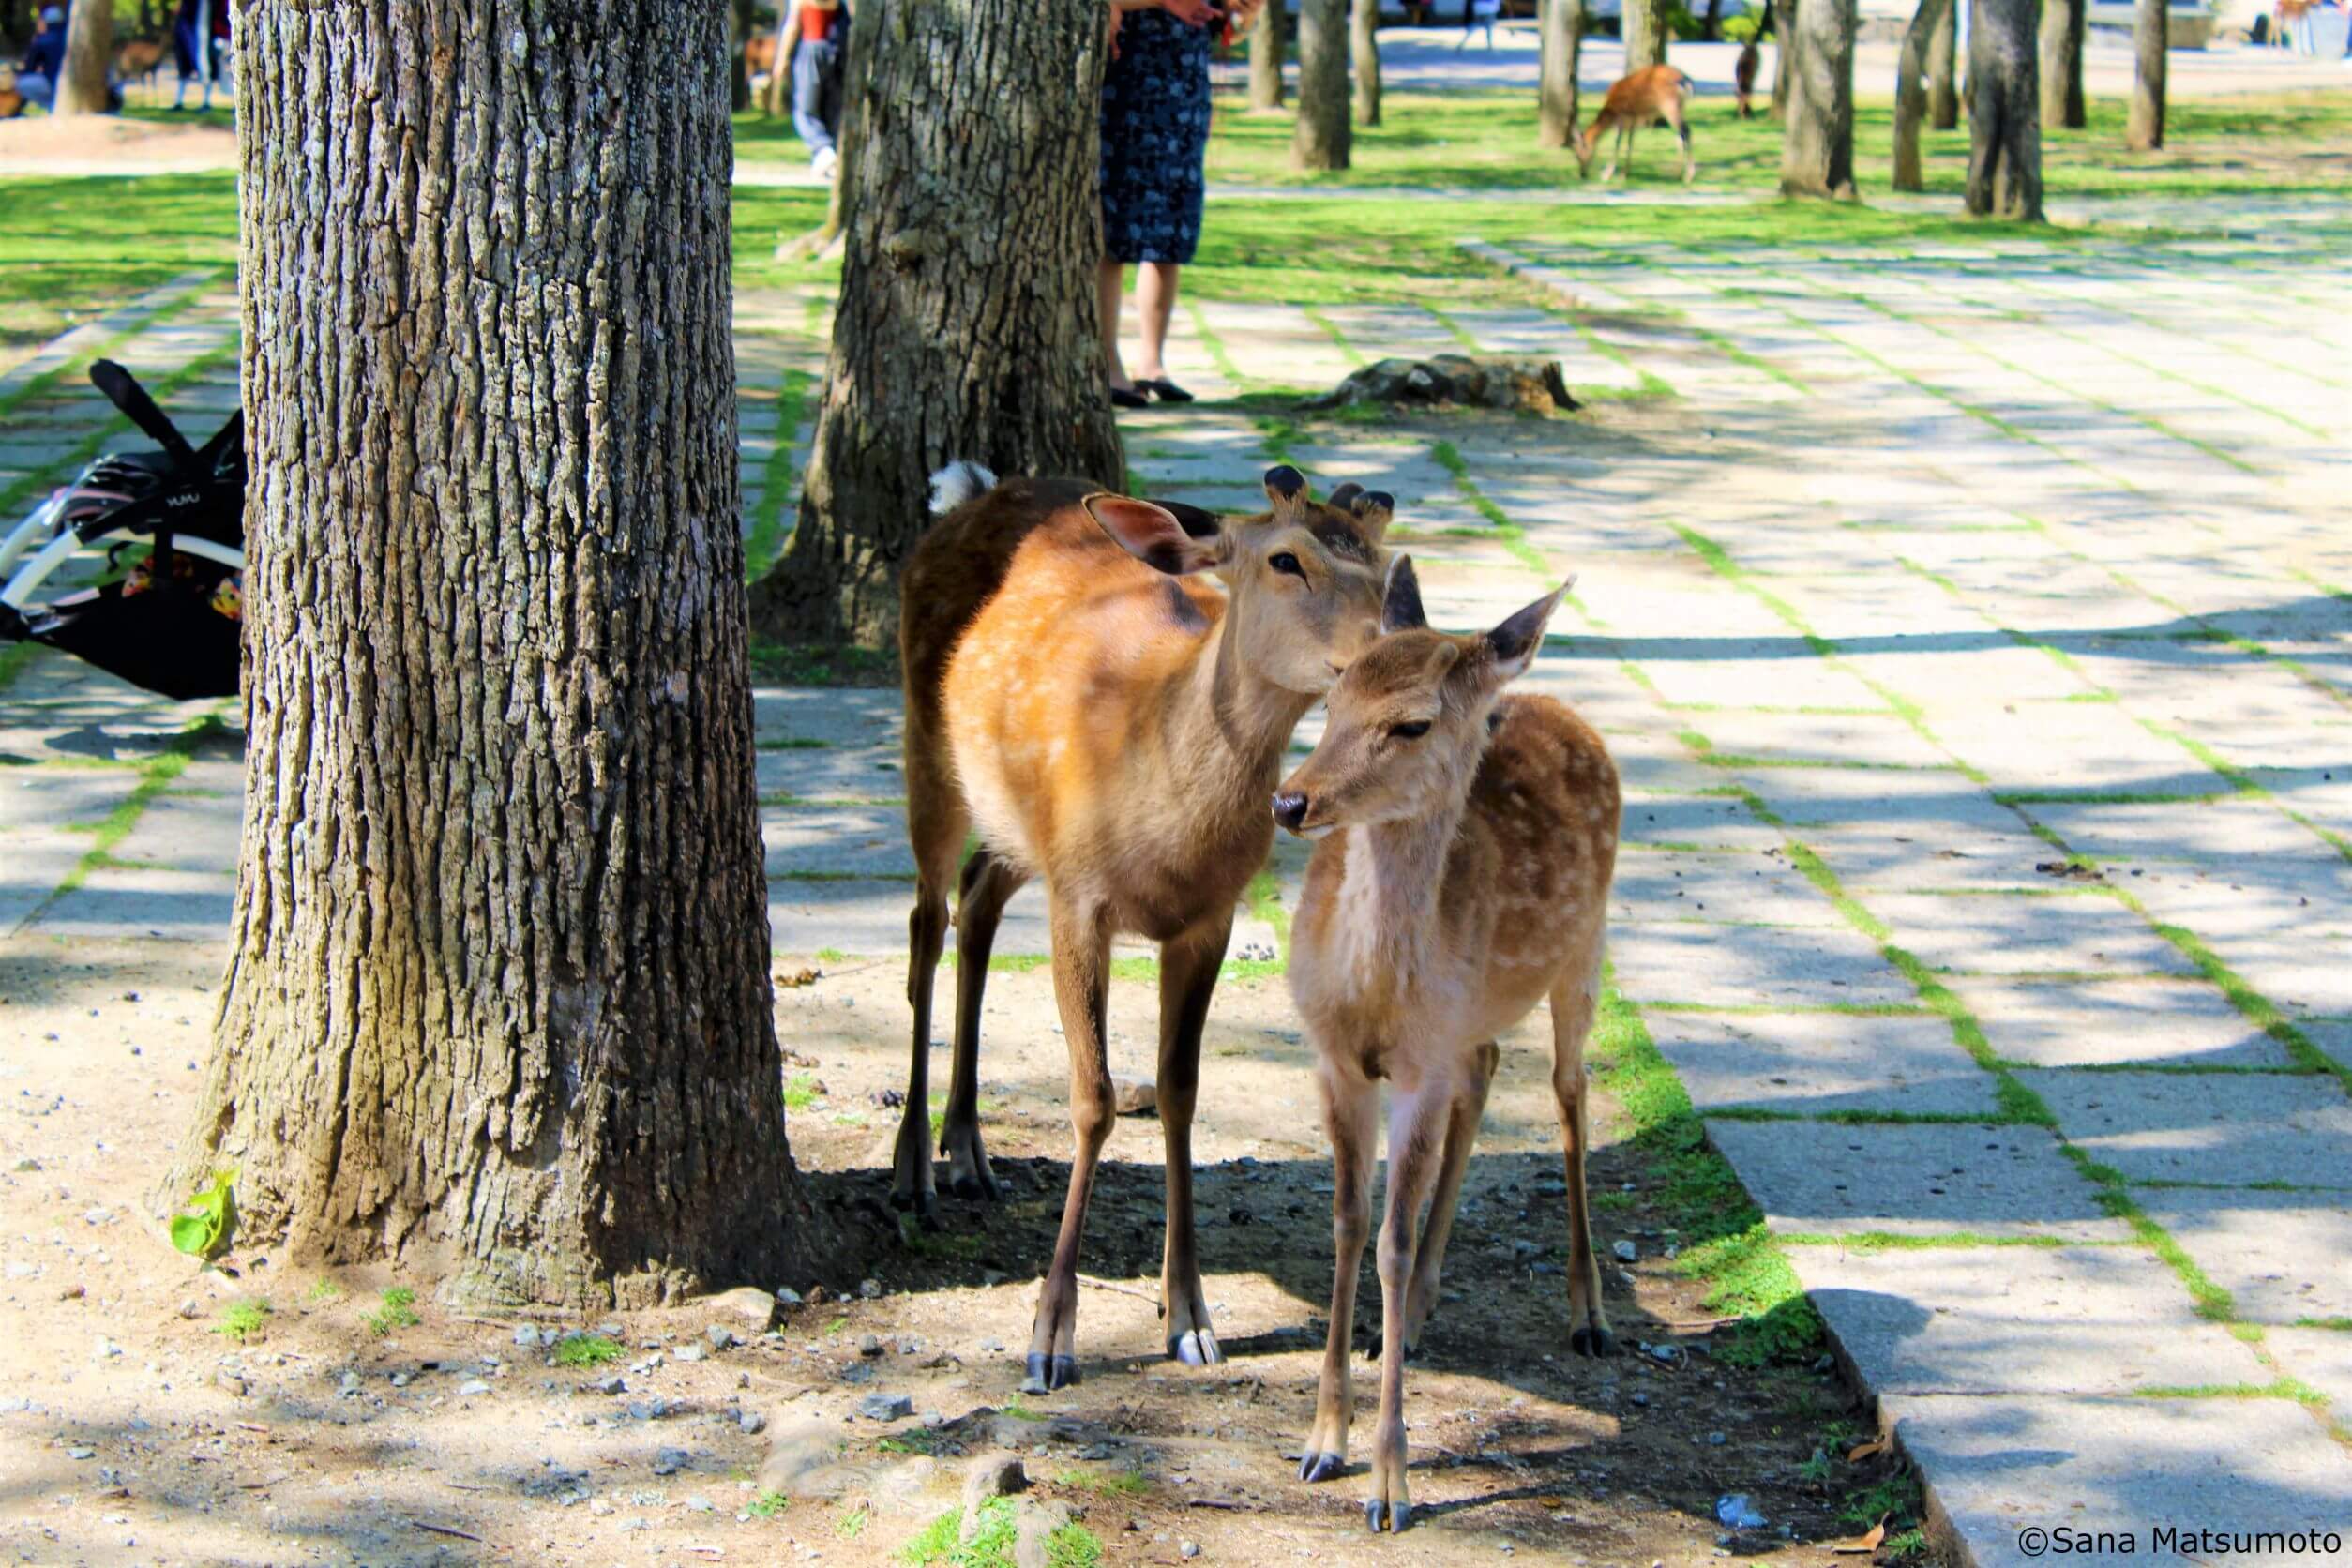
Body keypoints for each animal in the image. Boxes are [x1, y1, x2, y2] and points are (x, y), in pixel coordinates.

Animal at [896, 461, 1395, 1395]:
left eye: (1386, 570)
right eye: (1286, 558)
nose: (1381, 654)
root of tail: (966, 493)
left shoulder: (1209, 917)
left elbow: (1179, 1091)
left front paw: (1190, 1315)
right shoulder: (1081, 901)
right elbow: (1093, 1099)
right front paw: (1049, 1337)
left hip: (1024, 824)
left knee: (978, 896)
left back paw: (968, 1145)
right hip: (928, 744)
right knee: (926, 921)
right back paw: (913, 1163)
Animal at [1272, 557, 1619, 1532]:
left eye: (1412, 722)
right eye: (1334, 692)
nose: (1290, 799)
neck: (1378, 995)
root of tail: (1549, 700)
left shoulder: (1417, 1070)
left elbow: (1387, 1240)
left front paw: (1390, 1484)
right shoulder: (1335, 1060)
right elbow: (1349, 1224)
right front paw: (1322, 1443)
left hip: (1585, 952)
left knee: (1570, 1092)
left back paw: (1589, 1313)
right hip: (1479, 1016)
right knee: (1490, 1065)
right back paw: (1421, 1314)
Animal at [1574, 64, 1697, 185]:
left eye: (1578, 153)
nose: (1582, 174)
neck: (1612, 109)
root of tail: (1686, 79)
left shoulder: (1622, 117)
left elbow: (1617, 142)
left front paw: (1606, 174)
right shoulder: (1633, 119)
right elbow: (1630, 143)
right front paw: (1624, 174)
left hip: (1669, 105)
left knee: (1686, 130)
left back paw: (1689, 176)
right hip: (1680, 107)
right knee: (1680, 136)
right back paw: (1678, 174)